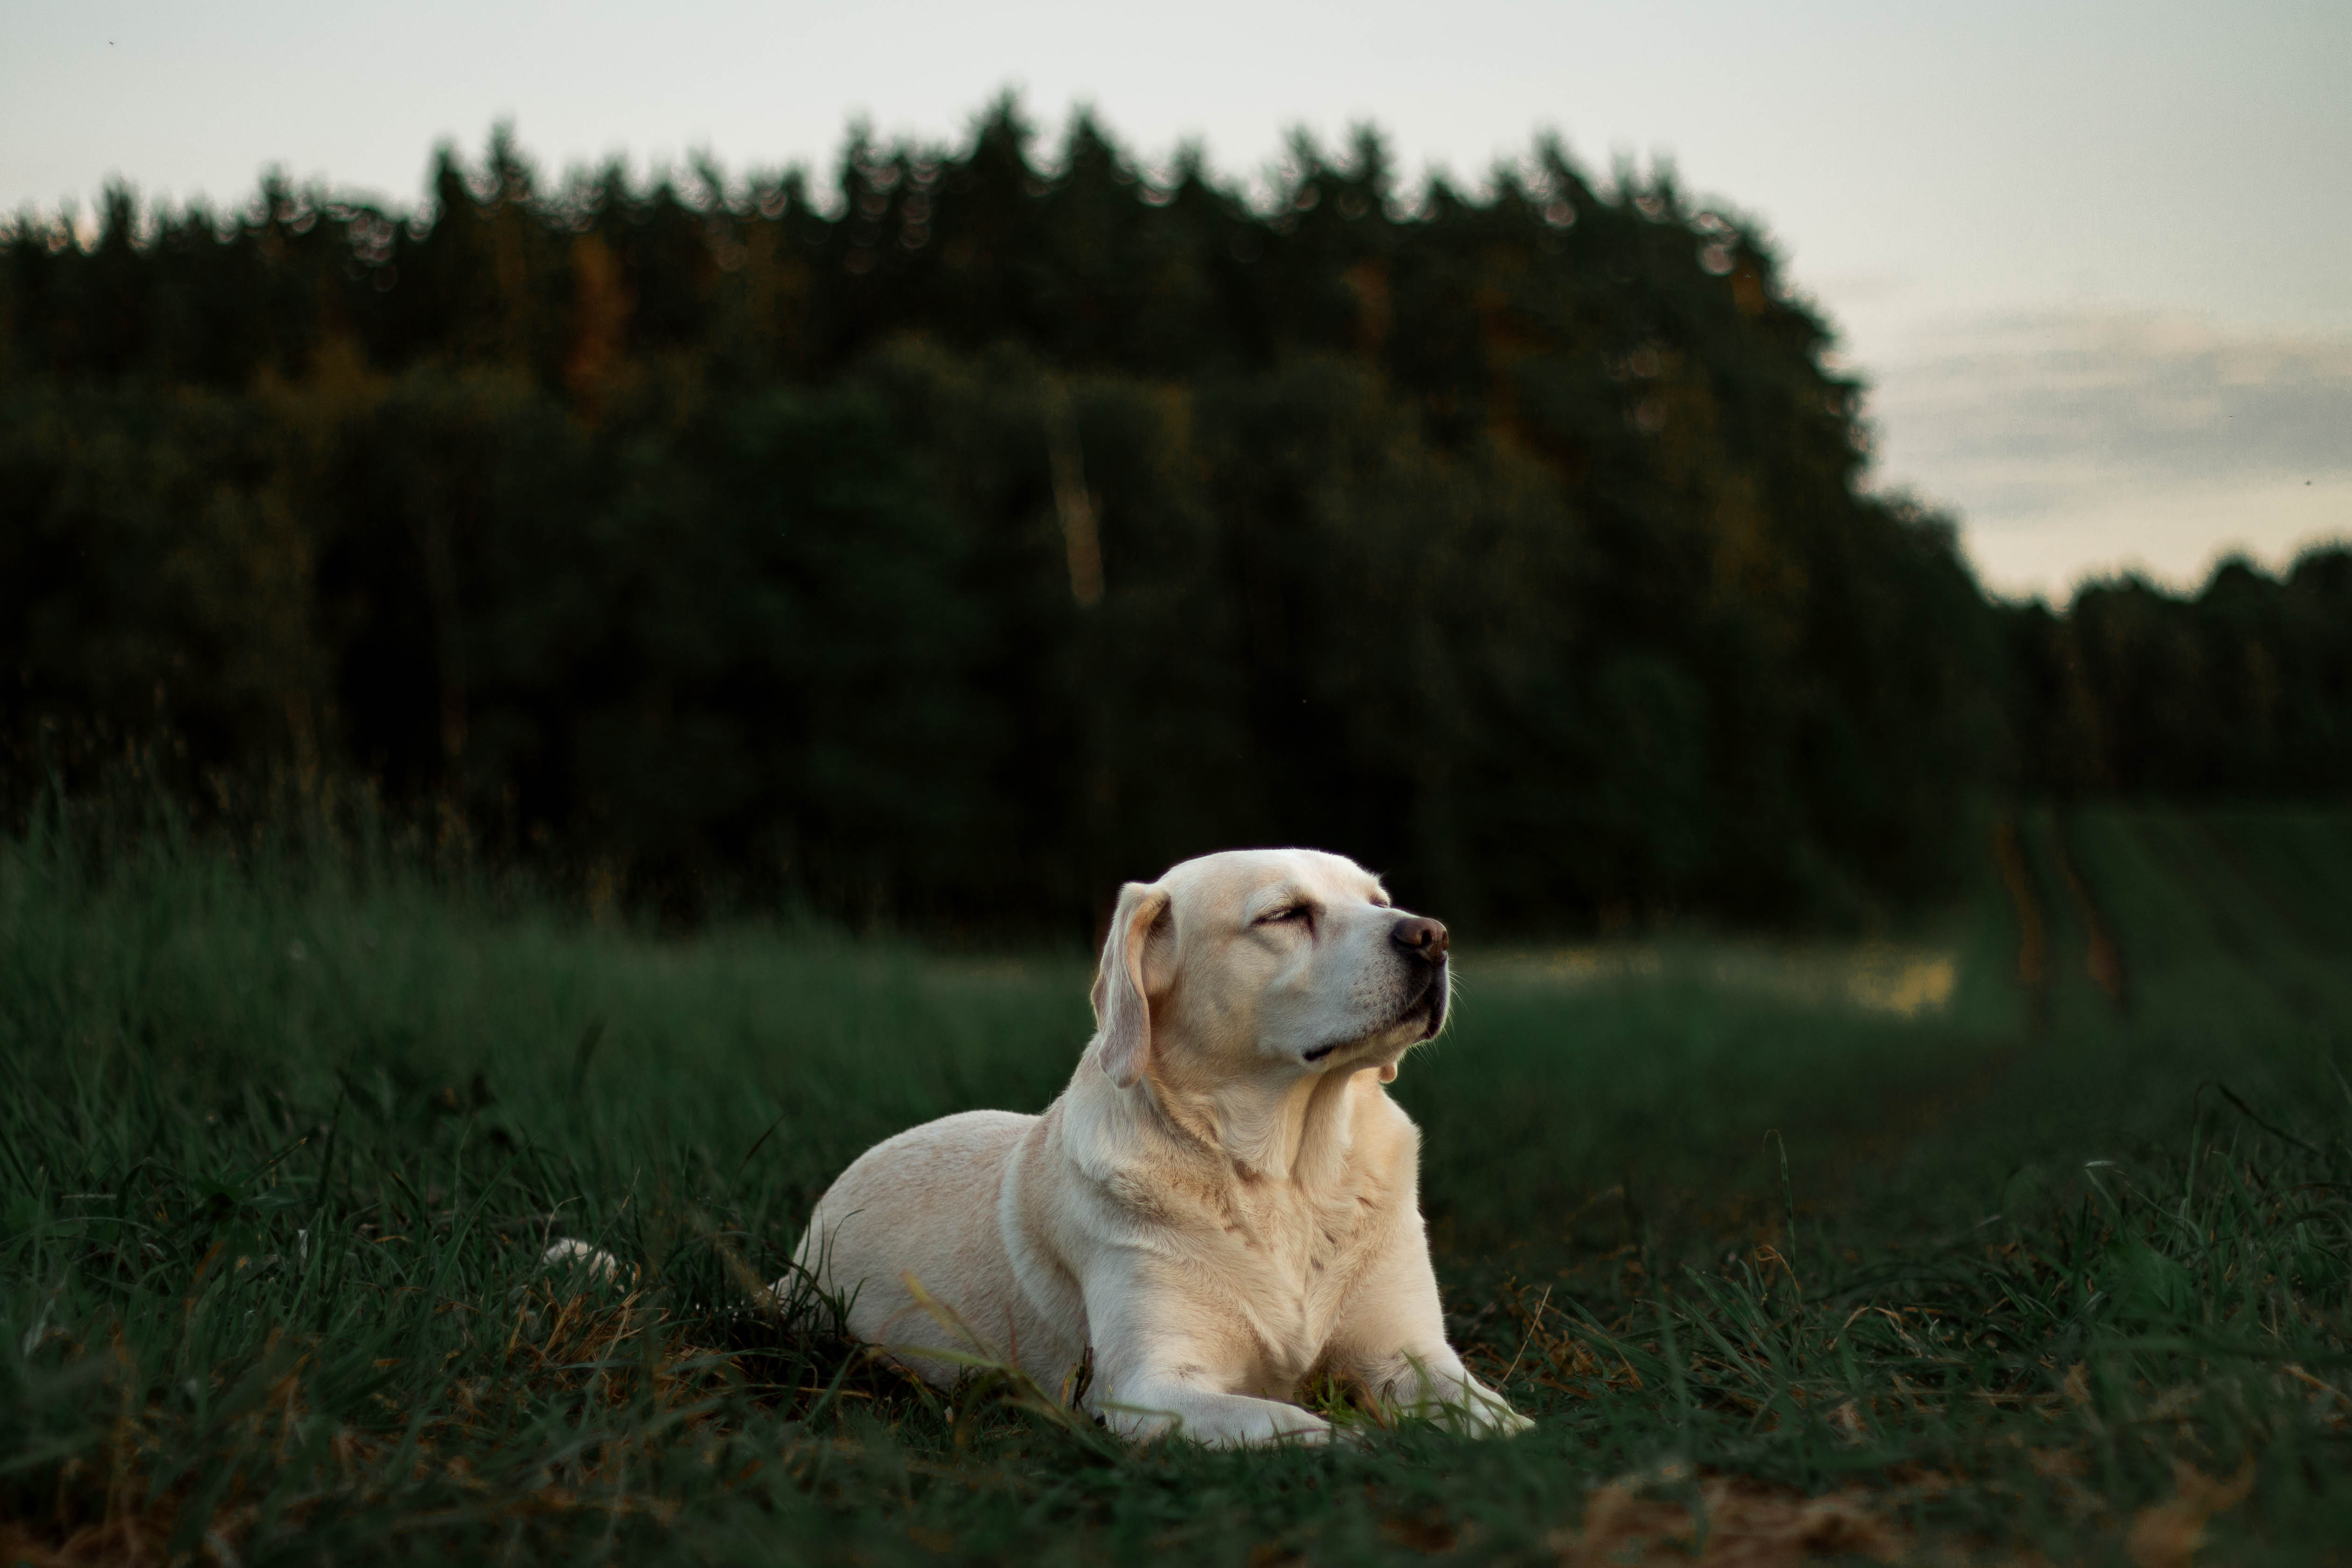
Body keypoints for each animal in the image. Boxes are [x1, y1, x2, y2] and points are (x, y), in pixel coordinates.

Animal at [781, 846, 1533, 1448]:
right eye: (1285, 914)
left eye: (1378, 901)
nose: (1432, 936)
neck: (1287, 1174)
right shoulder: (1150, 1386)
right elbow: (1305, 1426)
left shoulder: (1410, 1355)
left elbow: (1504, 1421)